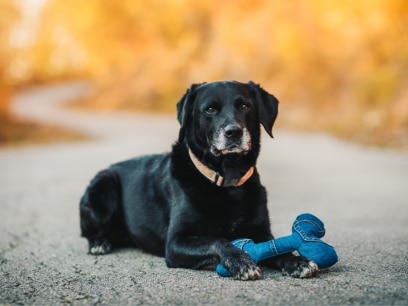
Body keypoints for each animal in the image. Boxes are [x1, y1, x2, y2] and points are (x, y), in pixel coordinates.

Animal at [78, 80, 318, 280]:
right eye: (210, 109)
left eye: (244, 106)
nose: (233, 132)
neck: (227, 180)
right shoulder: (176, 242)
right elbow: (218, 241)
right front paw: (241, 262)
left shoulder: (261, 232)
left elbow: (276, 247)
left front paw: (297, 261)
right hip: (103, 185)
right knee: (90, 232)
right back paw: (100, 243)